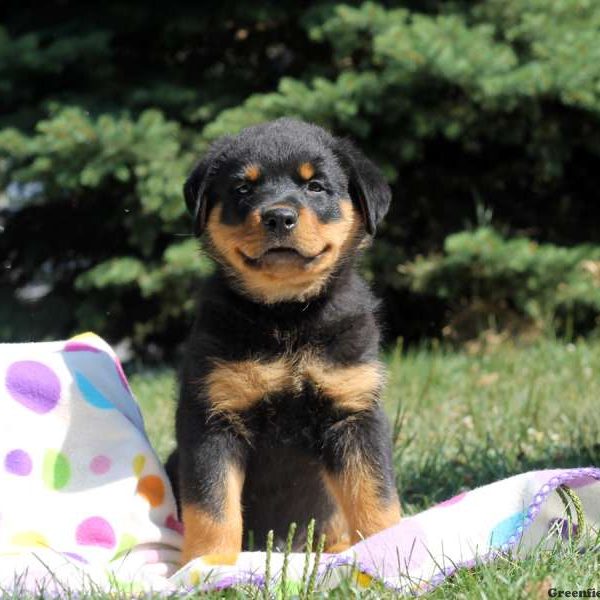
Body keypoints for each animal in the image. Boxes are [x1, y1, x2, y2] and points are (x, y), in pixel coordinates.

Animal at [168, 117, 404, 564]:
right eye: (243, 188)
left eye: (316, 186)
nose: (278, 216)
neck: (287, 314)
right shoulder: (211, 419)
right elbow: (211, 506)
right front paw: (209, 565)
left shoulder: (353, 412)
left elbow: (374, 495)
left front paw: (392, 549)